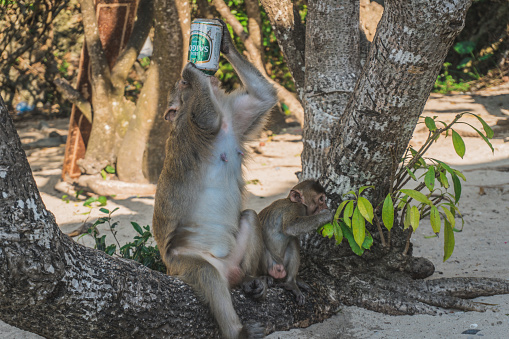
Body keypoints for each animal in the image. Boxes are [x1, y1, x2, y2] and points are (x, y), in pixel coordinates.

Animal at [152, 19, 276, 339]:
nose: (187, 79)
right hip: (181, 264)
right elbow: (208, 121)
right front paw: (195, 71)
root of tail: (227, 270)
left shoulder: (235, 119)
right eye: (182, 87)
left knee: (249, 218)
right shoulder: (188, 129)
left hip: (233, 259)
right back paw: (238, 330)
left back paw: (250, 281)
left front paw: (225, 41)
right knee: (207, 275)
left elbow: (265, 98)